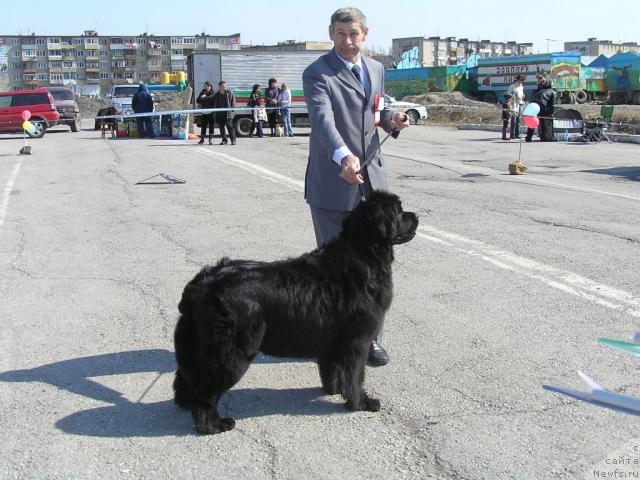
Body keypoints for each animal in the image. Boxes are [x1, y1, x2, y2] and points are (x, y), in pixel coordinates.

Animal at [172, 191, 418, 436]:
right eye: (399, 211)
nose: (416, 216)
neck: (364, 253)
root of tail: (201, 284)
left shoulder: (331, 340)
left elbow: (333, 369)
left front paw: (334, 389)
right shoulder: (357, 340)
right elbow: (356, 375)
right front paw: (361, 403)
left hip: (198, 346)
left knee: (187, 377)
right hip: (230, 352)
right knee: (206, 391)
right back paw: (213, 424)